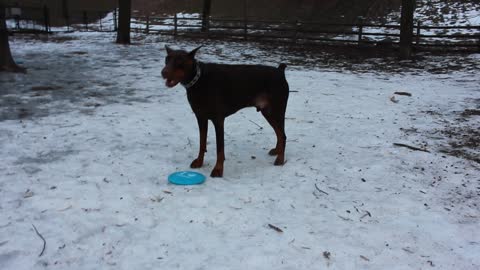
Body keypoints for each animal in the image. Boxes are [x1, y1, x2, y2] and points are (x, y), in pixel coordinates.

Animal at [161, 46, 288, 177]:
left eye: (179, 61)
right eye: (167, 59)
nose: (163, 72)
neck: (199, 80)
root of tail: (280, 71)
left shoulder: (218, 120)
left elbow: (220, 148)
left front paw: (218, 169)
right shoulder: (201, 117)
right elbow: (202, 143)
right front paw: (199, 162)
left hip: (276, 111)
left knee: (283, 135)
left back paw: (280, 159)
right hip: (268, 112)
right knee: (279, 134)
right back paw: (277, 151)